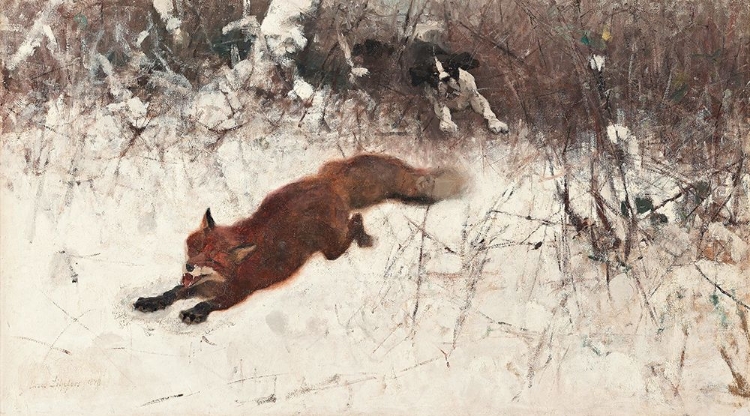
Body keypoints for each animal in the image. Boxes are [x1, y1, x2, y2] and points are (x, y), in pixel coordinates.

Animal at [133, 153, 466, 324]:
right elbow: (173, 292)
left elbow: (210, 304)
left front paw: (194, 312)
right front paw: (152, 301)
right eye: (197, 247)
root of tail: (327, 181)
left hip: (331, 248)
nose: (189, 266)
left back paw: (364, 237)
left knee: (355, 222)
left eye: (213, 259)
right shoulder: (197, 284)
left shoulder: (238, 292)